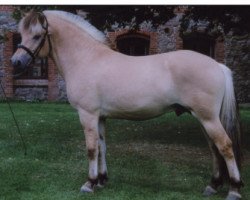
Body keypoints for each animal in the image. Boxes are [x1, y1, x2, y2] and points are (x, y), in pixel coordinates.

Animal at [10, 10, 243, 200]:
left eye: (37, 36)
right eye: (21, 35)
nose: (16, 62)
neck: (86, 59)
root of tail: (218, 65)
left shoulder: (87, 115)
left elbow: (91, 149)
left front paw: (89, 183)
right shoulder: (100, 117)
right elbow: (102, 147)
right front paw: (102, 180)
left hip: (208, 118)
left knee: (225, 146)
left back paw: (234, 189)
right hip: (203, 119)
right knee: (214, 149)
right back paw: (212, 186)